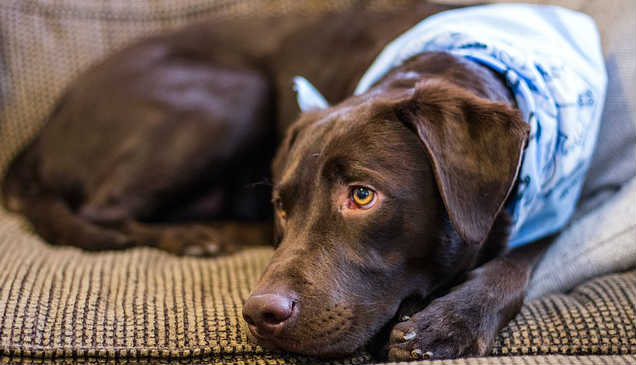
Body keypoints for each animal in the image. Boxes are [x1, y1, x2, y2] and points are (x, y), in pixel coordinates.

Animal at [3, 4, 556, 360]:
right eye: (282, 207)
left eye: (362, 196)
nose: (259, 313)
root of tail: (41, 134)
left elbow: (518, 262)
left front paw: (449, 322)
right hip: (232, 94)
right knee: (103, 213)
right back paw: (198, 238)